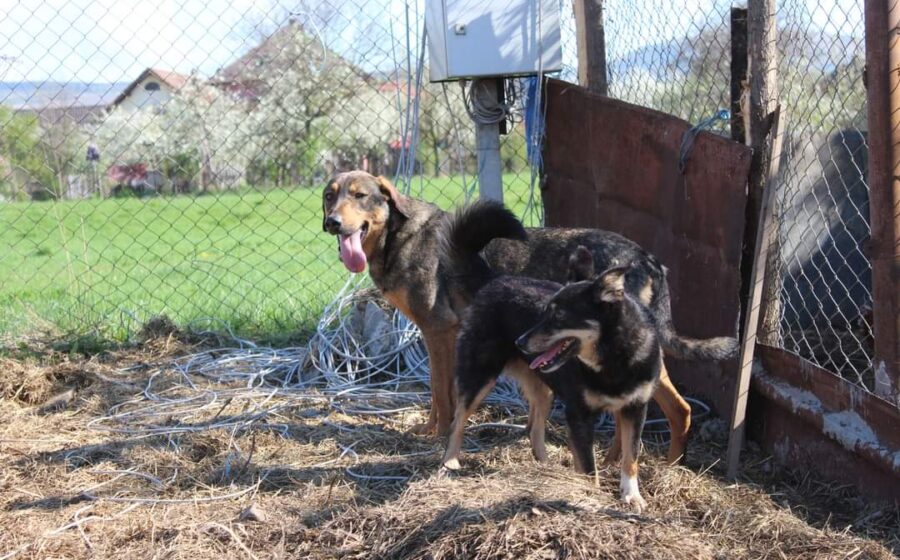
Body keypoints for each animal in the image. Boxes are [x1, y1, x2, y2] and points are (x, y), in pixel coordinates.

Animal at [321, 171, 737, 460]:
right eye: (329, 196)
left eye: (359, 196)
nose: (331, 223)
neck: (397, 234)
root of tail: (648, 258)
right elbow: (440, 395)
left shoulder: (438, 332)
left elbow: (440, 393)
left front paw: (436, 435)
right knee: (678, 410)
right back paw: (657, 464)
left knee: (673, 408)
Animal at [440, 243, 661, 511]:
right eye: (544, 312)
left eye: (558, 317)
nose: (520, 341)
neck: (614, 359)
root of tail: (495, 280)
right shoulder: (579, 414)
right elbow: (589, 467)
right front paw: (591, 496)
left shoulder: (635, 409)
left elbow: (631, 458)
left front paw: (631, 496)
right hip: (479, 376)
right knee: (458, 420)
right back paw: (450, 462)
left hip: (544, 391)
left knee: (534, 429)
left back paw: (546, 467)